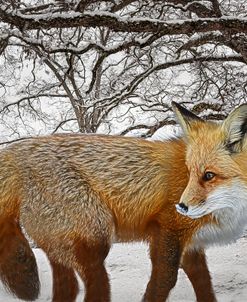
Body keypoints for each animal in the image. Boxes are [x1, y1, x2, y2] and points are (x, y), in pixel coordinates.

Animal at [0, 133, 219, 300]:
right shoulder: (170, 229)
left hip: (63, 248)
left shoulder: (191, 244)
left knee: (70, 288)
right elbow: (164, 280)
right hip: (96, 240)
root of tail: (14, 152)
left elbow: (203, 281)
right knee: (95, 288)